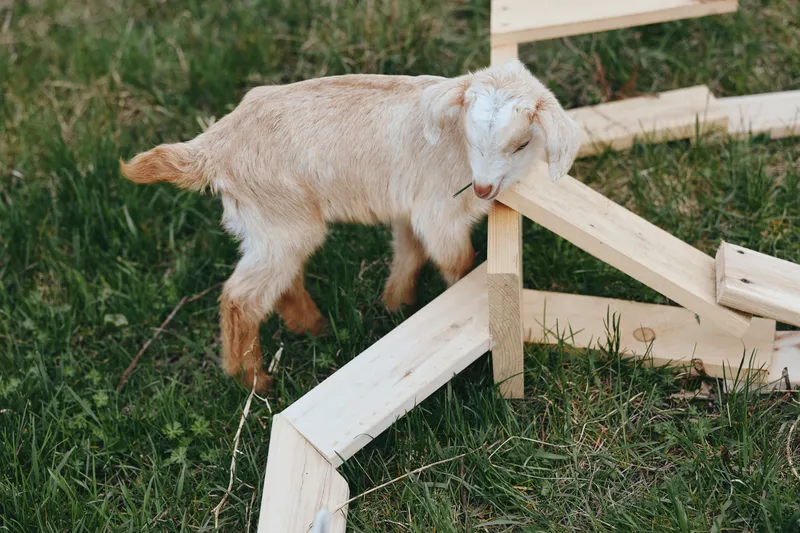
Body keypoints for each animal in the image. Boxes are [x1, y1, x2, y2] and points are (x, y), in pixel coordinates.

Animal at [120, 59, 580, 393]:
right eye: (471, 137)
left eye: (521, 143)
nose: (483, 188)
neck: (452, 144)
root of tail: (212, 147)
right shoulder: (439, 213)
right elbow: (458, 263)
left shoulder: (408, 207)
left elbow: (408, 252)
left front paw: (396, 303)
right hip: (283, 221)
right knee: (240, 298)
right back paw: (254, 381)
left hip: (268, 224)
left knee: (281, 282)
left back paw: (314, 328)